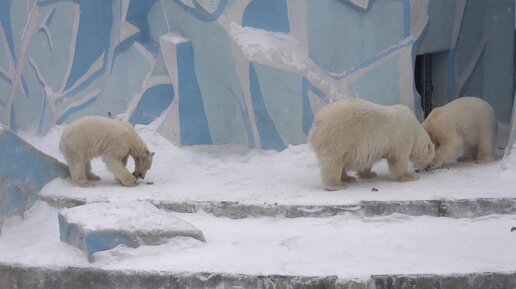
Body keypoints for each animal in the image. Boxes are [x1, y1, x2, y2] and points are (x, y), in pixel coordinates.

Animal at [306, 98, 436, 190]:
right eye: (431, 158)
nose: (428, 168)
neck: (414, 128)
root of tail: (315, 126)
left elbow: (367, 160)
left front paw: (370, 173)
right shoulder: (402, 137)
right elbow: (398, 159)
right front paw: (410, 176)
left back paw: (348, 178)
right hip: (336, 137)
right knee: (333, 161)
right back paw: (337, 185)